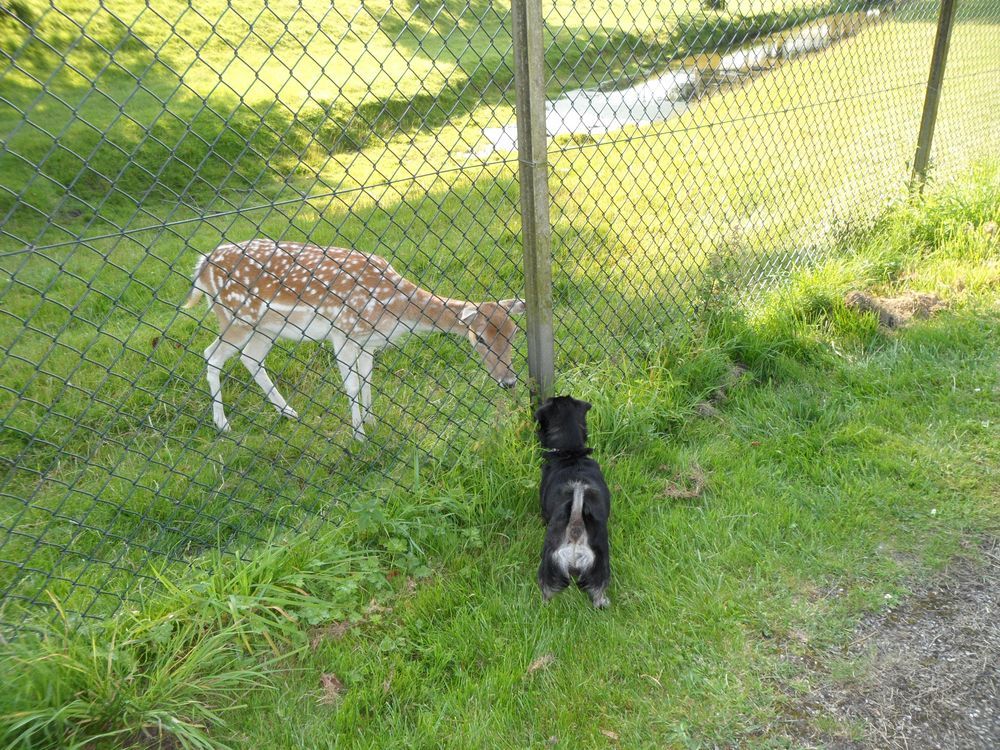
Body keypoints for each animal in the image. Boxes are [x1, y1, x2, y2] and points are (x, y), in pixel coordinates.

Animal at [183, 239, 524, 440]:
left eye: (514, 333)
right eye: (479, 339)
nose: (509, 381)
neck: (392, 308)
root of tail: (202, 265)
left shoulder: (366, 341)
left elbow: (367, 379)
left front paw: (371, 422)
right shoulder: (343, 332)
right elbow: (351, 385)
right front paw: (359, 436)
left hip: (265, 327)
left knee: (250, 358)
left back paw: (289, 412)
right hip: (235, 317)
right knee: (211, 354)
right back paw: (223, 424)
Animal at [540, 396, 608, 608]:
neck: (571, 454)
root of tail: (576, 526)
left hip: (549, 563)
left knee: (546, 590)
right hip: (599, 566)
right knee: (598, 591)